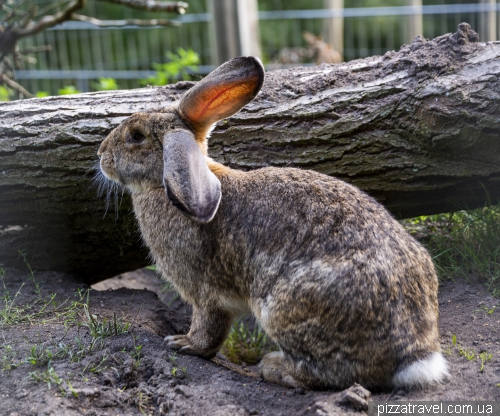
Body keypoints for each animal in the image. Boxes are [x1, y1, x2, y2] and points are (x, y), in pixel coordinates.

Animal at [97, 55, 450, 390]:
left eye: (136, 136)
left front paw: (183, 344)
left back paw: (272, 367)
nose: (100, 154)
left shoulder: (206, 294)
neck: (163, 183)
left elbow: (209, 327)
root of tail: (414, 358)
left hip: (286, 309)